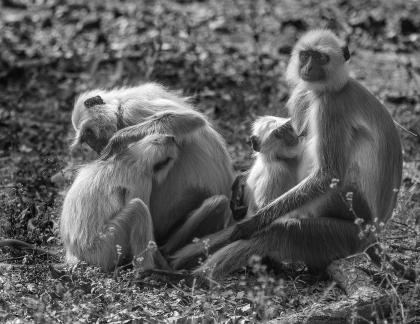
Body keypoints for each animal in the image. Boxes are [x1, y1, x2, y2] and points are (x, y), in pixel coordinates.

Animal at [60, 133, 180, 272]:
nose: (172, 138)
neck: (132, 157)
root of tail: (75, 252)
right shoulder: (142, 180)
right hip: (105, 246)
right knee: (138, 208)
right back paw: (146, 269)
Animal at [70, 83, 235, 256]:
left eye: (89, 134)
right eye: (87, 140)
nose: (96, 149)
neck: (120, 105)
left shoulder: (132, 109)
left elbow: (192, 119)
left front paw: (119, 138)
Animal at [171, 29, 404, 280]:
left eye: (320, 58)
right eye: (306, 56)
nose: (308, 68)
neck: (337, 87)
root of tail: (375, 233)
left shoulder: (330, 107)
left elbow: (328, 174)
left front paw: (251, 223)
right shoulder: (308, 95)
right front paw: (241, 181)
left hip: (351, 228)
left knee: (283, 231)